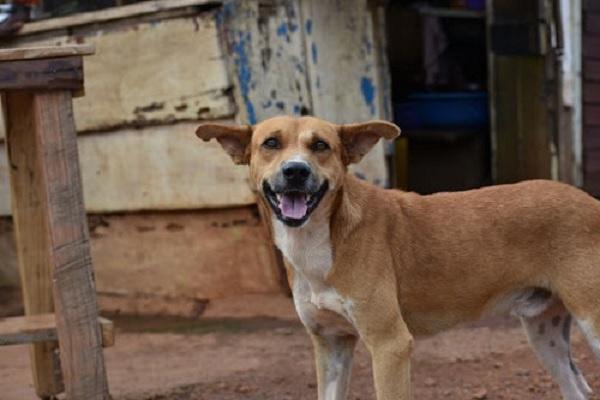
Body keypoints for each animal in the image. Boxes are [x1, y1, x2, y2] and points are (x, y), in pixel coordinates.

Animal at [197, 115, 600, 400]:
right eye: (270, 143)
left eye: (321, 145)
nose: (296, 170)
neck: (320, 240)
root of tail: (591, 201)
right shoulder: (331, 344)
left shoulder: (390, 345)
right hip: (544, 333)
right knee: (577, 390)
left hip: (592, 322)